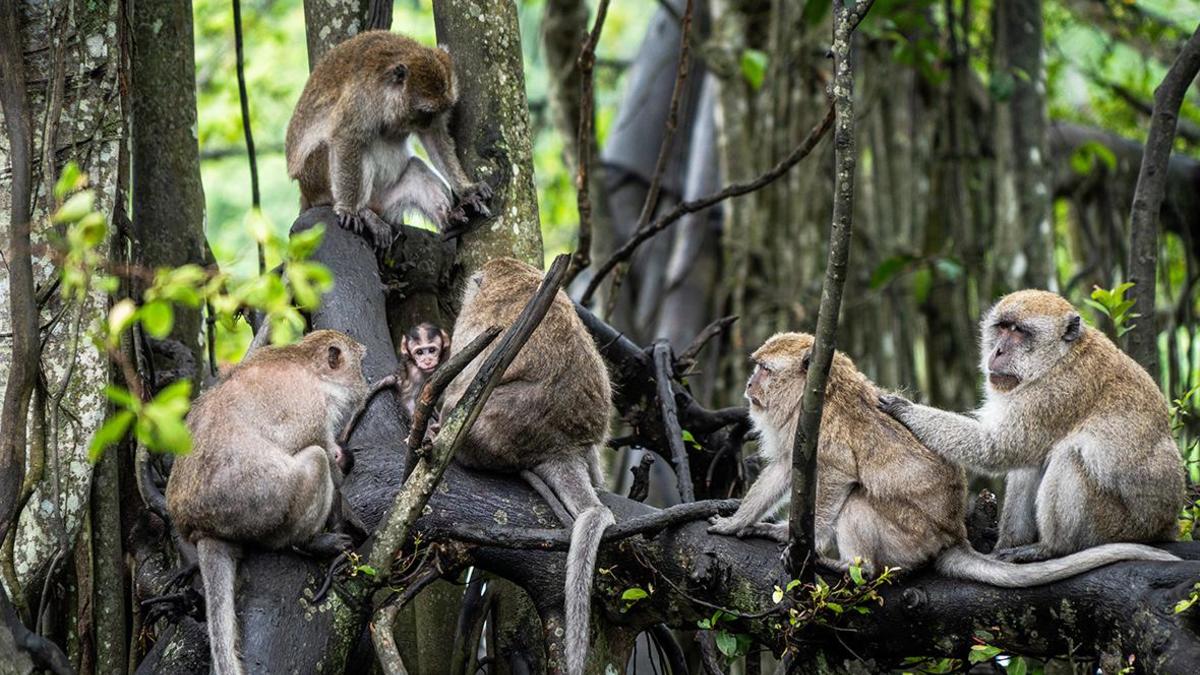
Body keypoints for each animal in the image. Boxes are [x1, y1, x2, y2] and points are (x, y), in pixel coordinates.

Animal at [166, 329, 367, 672]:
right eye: (358, 364)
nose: (365, 384)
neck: (305, 361)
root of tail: (200, 526)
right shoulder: (312, 408)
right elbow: (326, 457)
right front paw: (345, 506)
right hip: (260, 509)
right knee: (315, 461)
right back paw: (309, 542)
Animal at [286, 30, 492, 248]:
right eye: (426, 112)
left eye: (441, 111)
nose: (429, 122)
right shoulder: (362, 97)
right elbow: (346, 136)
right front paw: (348, 209)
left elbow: (436, 140)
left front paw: (468, 189)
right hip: (314, 178)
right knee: (350, 151)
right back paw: (363, 212)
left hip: (387, 200)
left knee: (416, 169)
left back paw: (450, 218)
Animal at [705, 331, 1176, 583]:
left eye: (764, 369)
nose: (749, 385)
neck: (818, 392)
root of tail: (953, 533)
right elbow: (784, 469)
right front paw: (738, 523)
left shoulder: (822, 429)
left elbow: (839, 476)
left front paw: (809, 543)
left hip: (910, 537)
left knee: (856, 502)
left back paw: (856, 568)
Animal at [878, 285, 1185, 559]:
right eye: (1003, 327)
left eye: (1019, 331)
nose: (998, 351)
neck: (1059, 357)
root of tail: (1166, 525)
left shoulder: (1054, 393)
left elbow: (996, 448)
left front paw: (904, 409)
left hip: (1115, 526)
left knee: (1068, 456)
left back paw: (1052, 548)